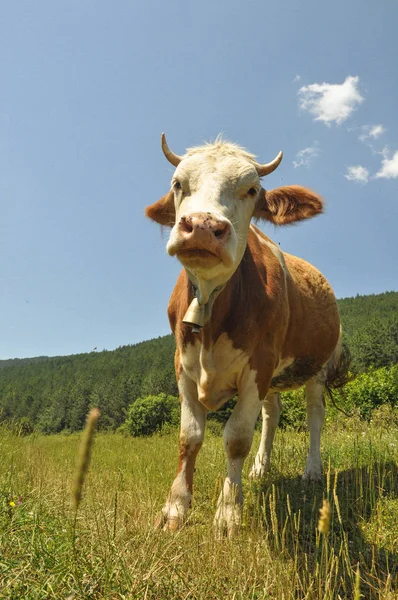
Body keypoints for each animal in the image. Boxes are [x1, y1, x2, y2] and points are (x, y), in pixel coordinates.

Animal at [146, 134, 348, 536]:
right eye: (177, 184)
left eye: (251, 189)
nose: (203, 225)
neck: (212, 301)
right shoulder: (183, 366)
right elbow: (189, 437)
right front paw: (175, 508)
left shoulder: (259, 364)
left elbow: (237, 438)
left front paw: (228, 514)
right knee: (271, 415)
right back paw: (260, 468)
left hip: (316, 368)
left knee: (314, 416)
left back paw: (312, 470)